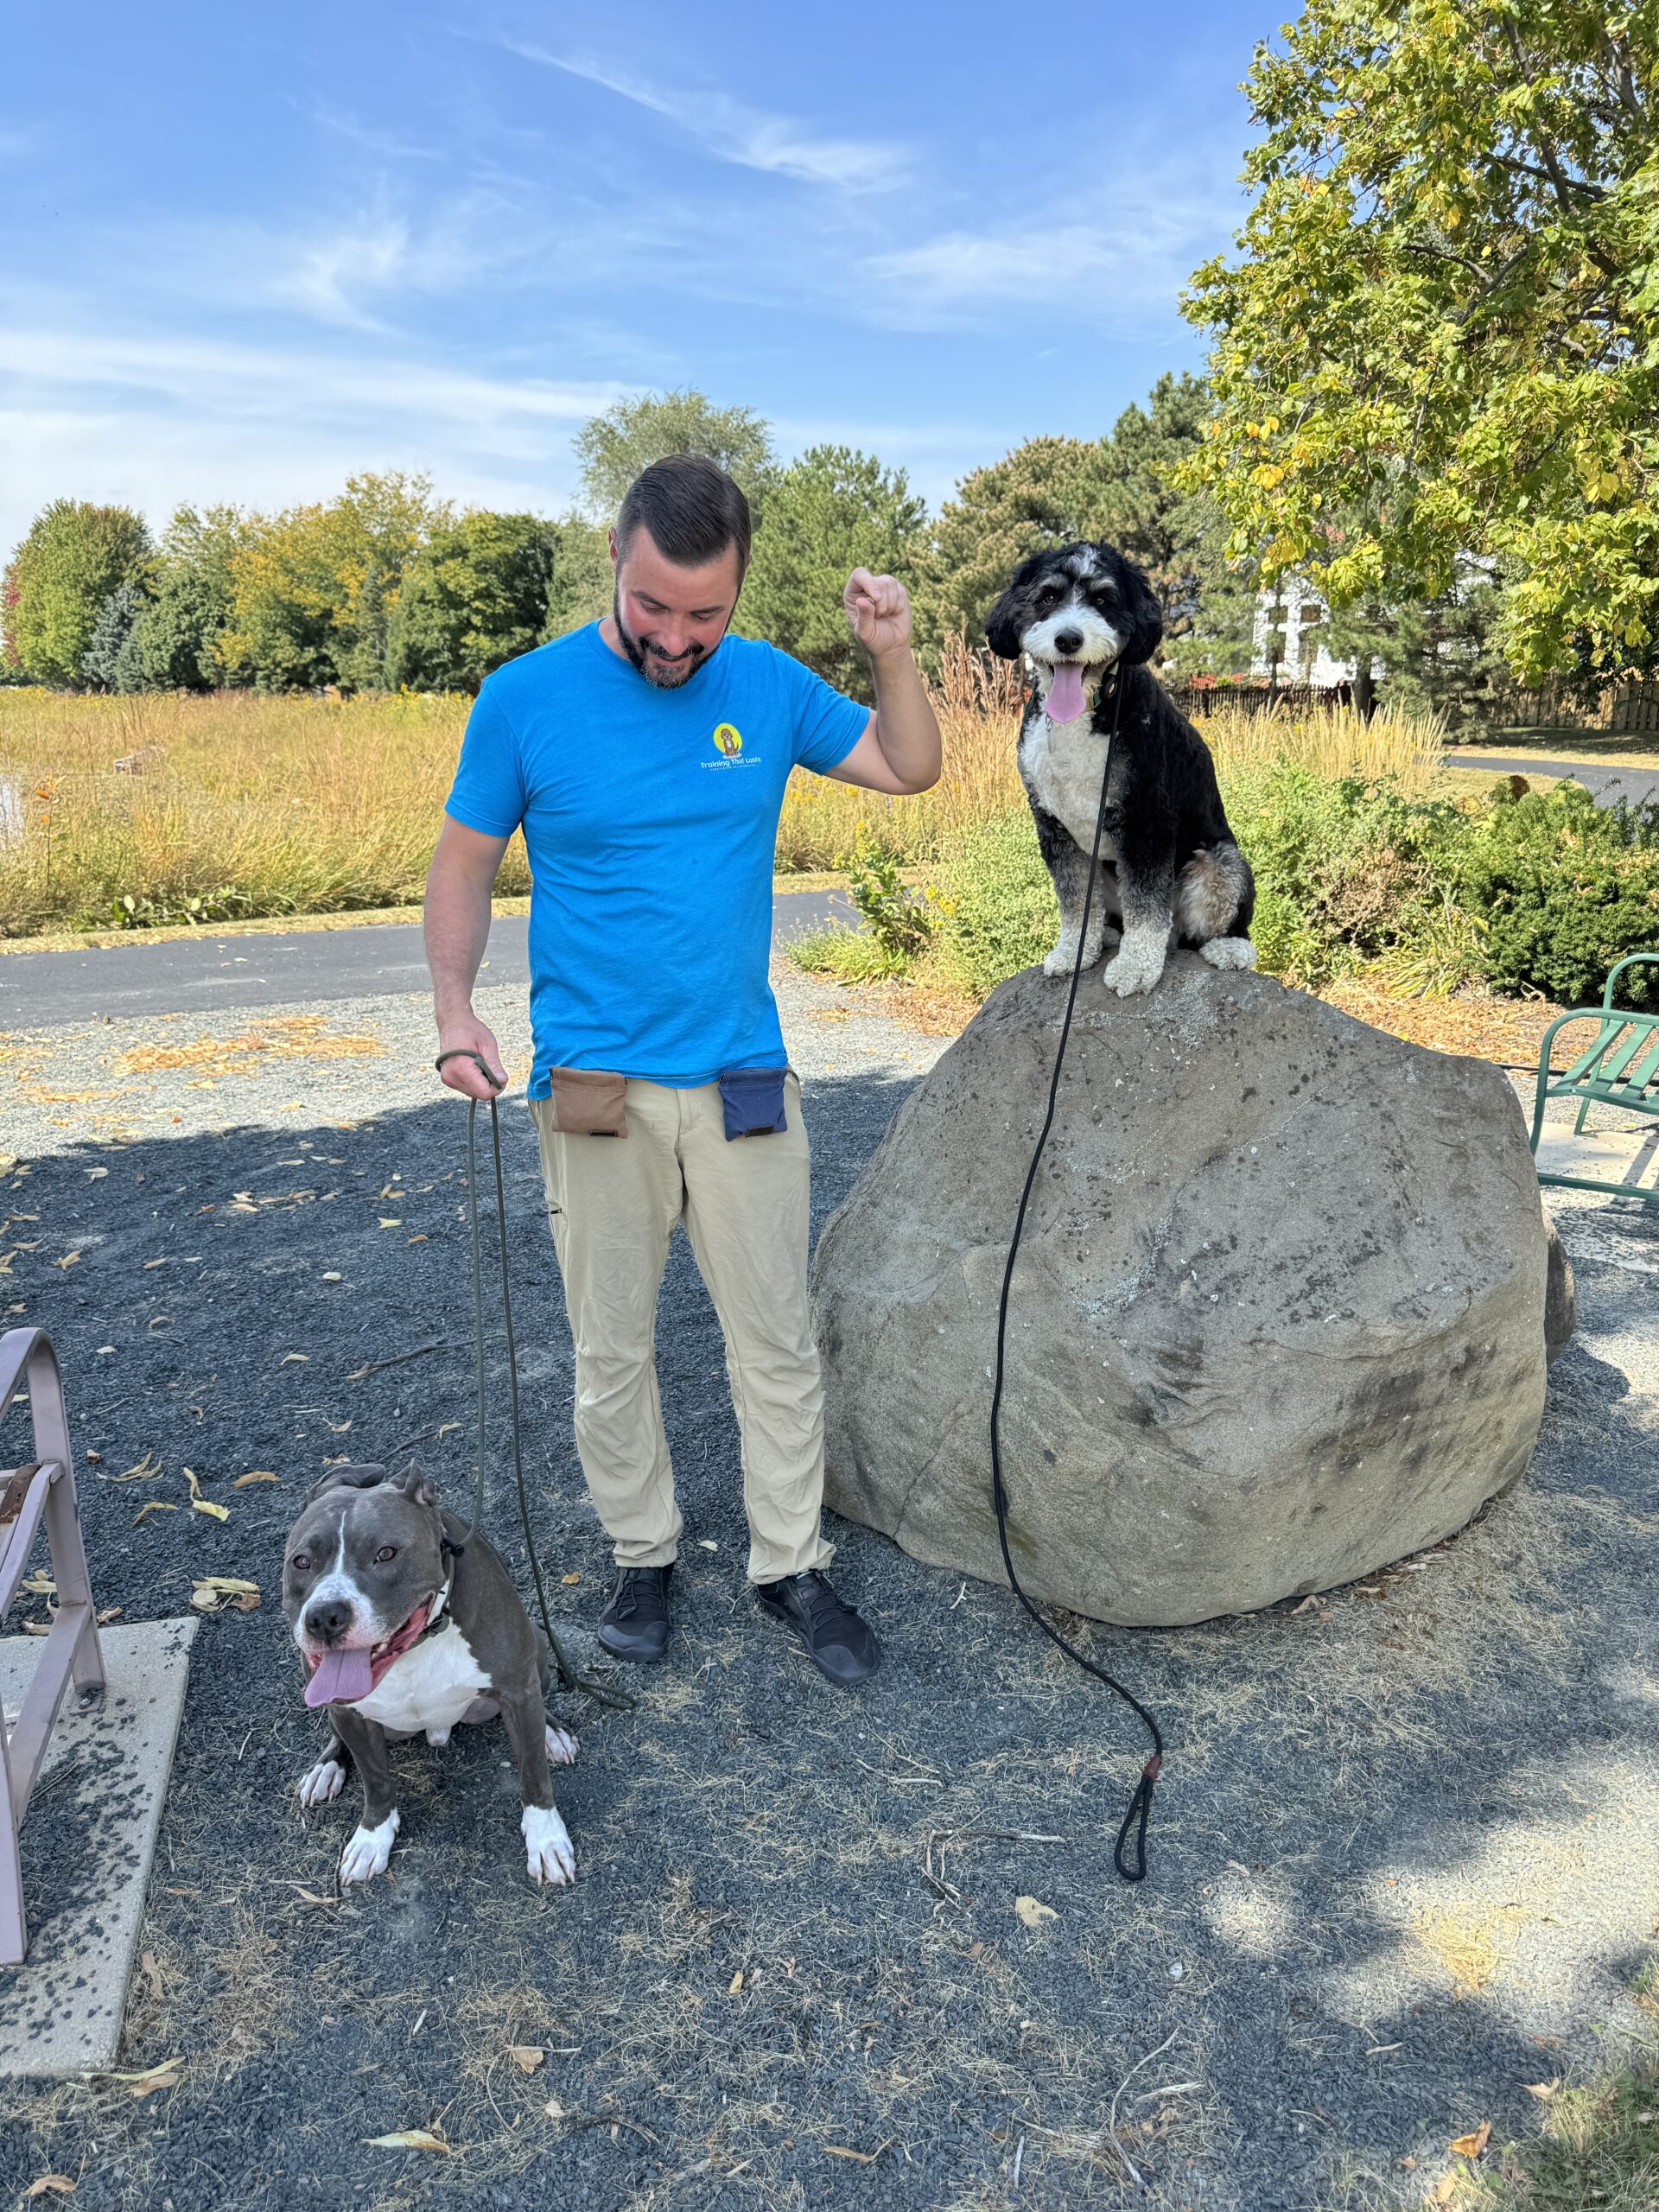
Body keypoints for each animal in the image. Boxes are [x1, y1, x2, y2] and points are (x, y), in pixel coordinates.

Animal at [986, 543, 1256, 995]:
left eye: (1103, 600)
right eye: (1047, 597)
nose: (1068, 639)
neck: (1090, 711)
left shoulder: (1146, 819)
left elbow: (1145, 904)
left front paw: (1136, 967)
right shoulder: (1054, 827)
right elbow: (1074, 901)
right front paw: (1072, 952)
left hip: (1219, 864)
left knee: (1207, 920)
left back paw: (1228, 947)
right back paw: (1107, 936)